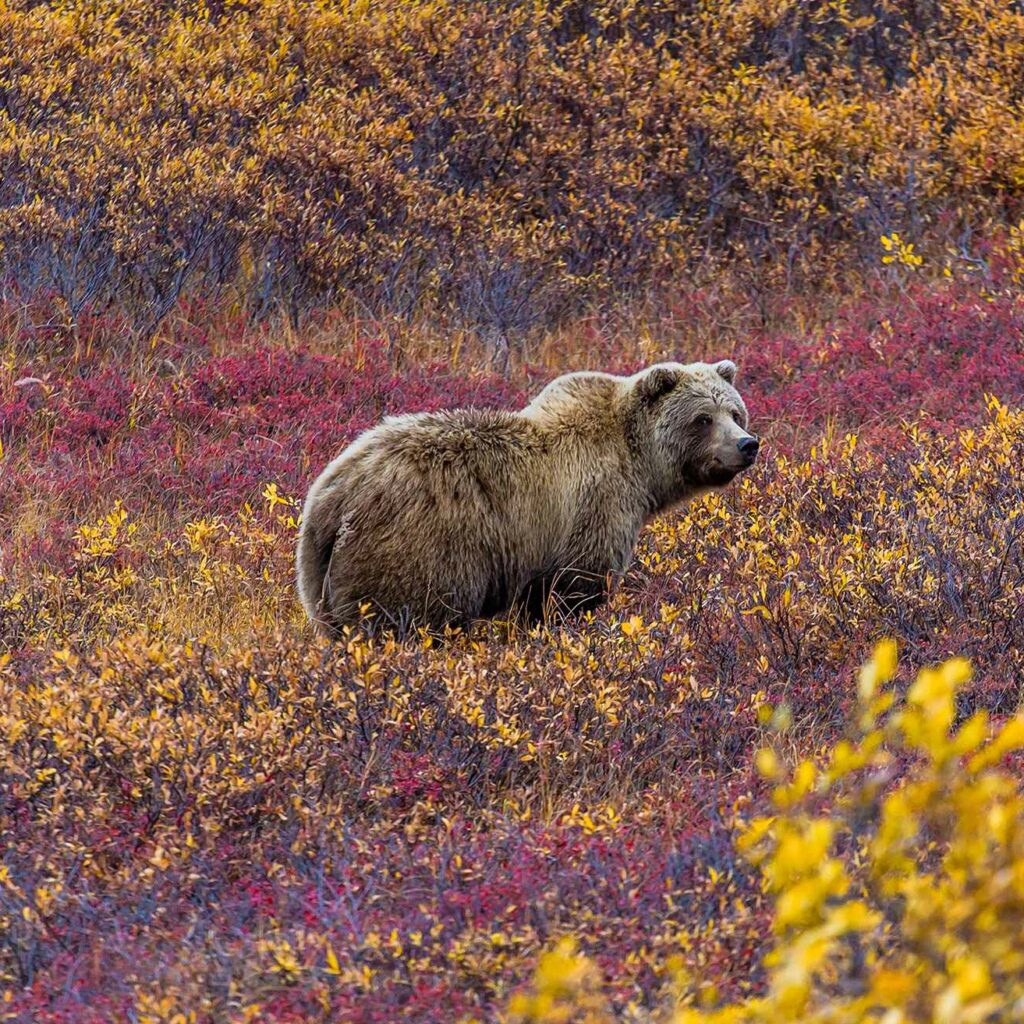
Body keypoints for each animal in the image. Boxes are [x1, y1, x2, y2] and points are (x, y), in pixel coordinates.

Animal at [292, 360, 757, 630]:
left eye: (735, 412)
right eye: (703, 418)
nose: (747, 444)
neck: (639, 465)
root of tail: (331, 498)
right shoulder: (593, 508)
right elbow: (571, 589)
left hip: (318, 577)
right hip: (415, 551)